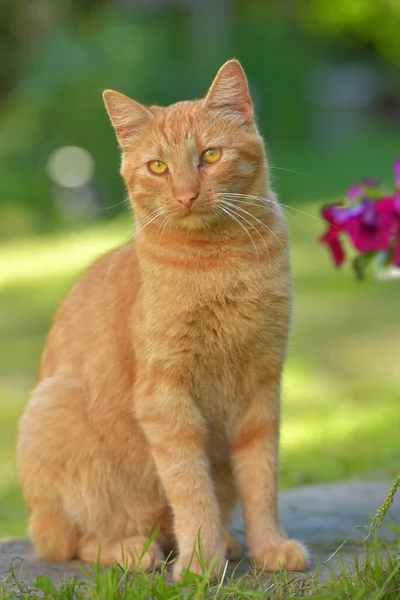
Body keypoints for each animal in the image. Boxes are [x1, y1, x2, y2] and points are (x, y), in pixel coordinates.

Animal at [16, 59, 310, 576]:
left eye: (210, 155)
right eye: (158, 167)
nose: (186, 194)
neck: (219, 264)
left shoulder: (261, 387)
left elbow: (261, 481)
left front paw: (269, 546)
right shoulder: (166, 398)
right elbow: (190, 490)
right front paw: (200, 563)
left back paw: (226, 542)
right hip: (52, 411)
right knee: (71, 541)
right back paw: (136, 550)